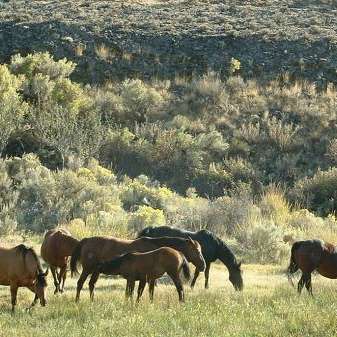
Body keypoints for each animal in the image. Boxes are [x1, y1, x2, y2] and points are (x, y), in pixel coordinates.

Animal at [69, 235, 203, 300]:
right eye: (197, 250)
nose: (203, 265)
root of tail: (86, 240)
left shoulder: (146, 278)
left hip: (95, 271)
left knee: (91, 284)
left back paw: (92, 301)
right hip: (87, 269)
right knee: (80, 283)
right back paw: (77, 301)